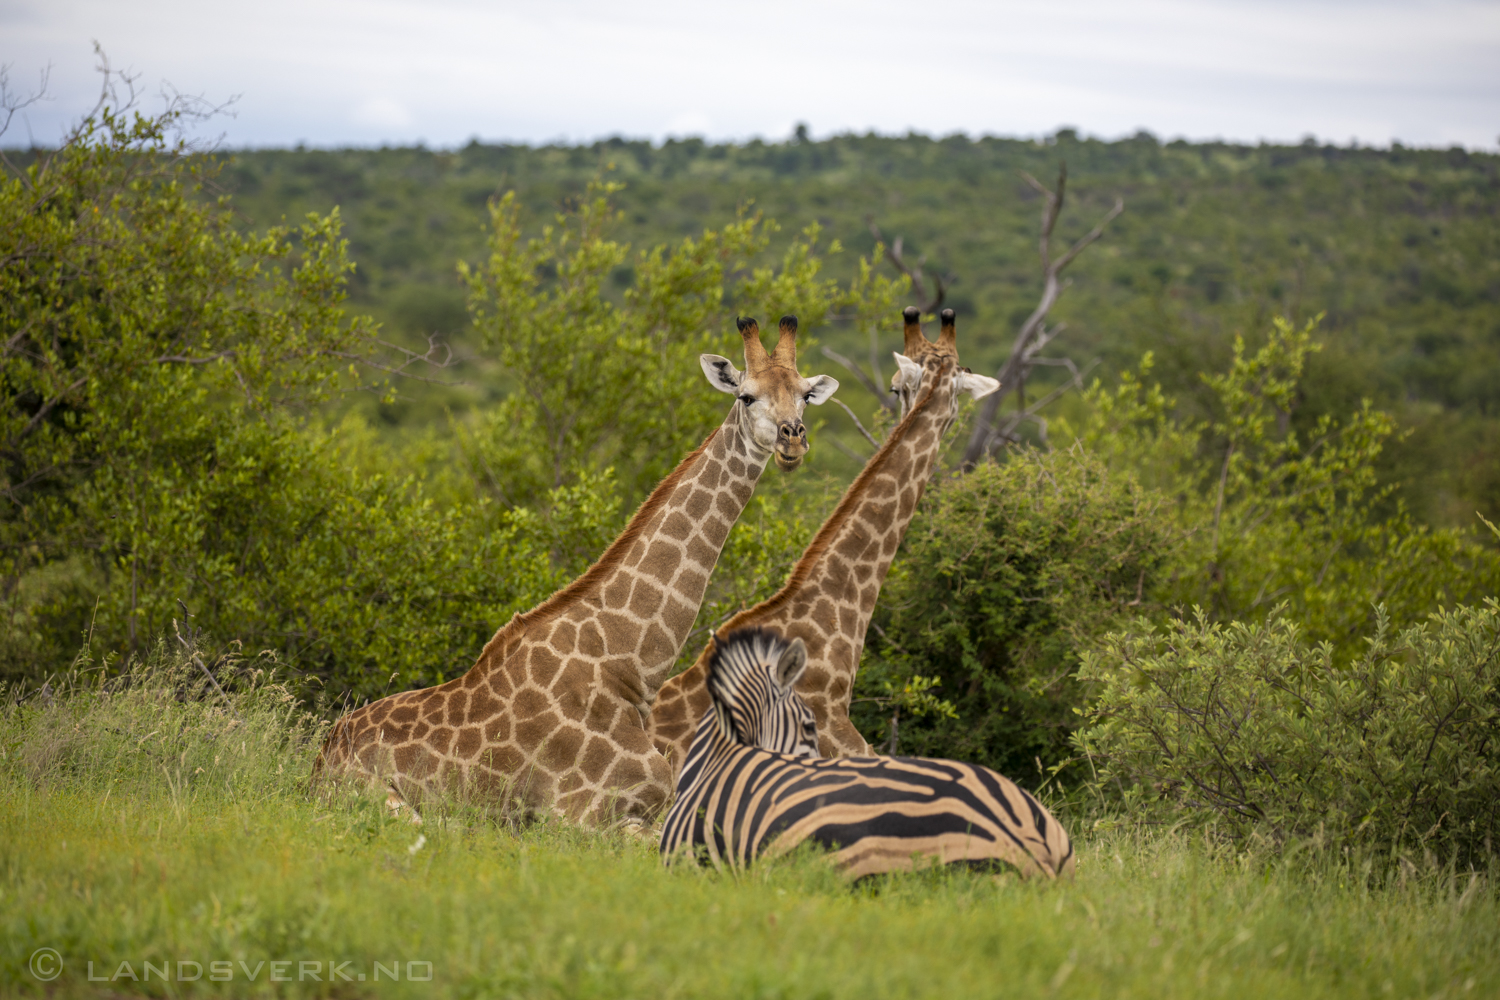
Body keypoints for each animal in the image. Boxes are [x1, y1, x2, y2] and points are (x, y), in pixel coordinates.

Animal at [310, 316, 840, 827]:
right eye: (746, 396)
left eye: (804, 396)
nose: (793, 439)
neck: (629, 666)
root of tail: (322, 754)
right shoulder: (583, 816)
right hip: (395, 806)